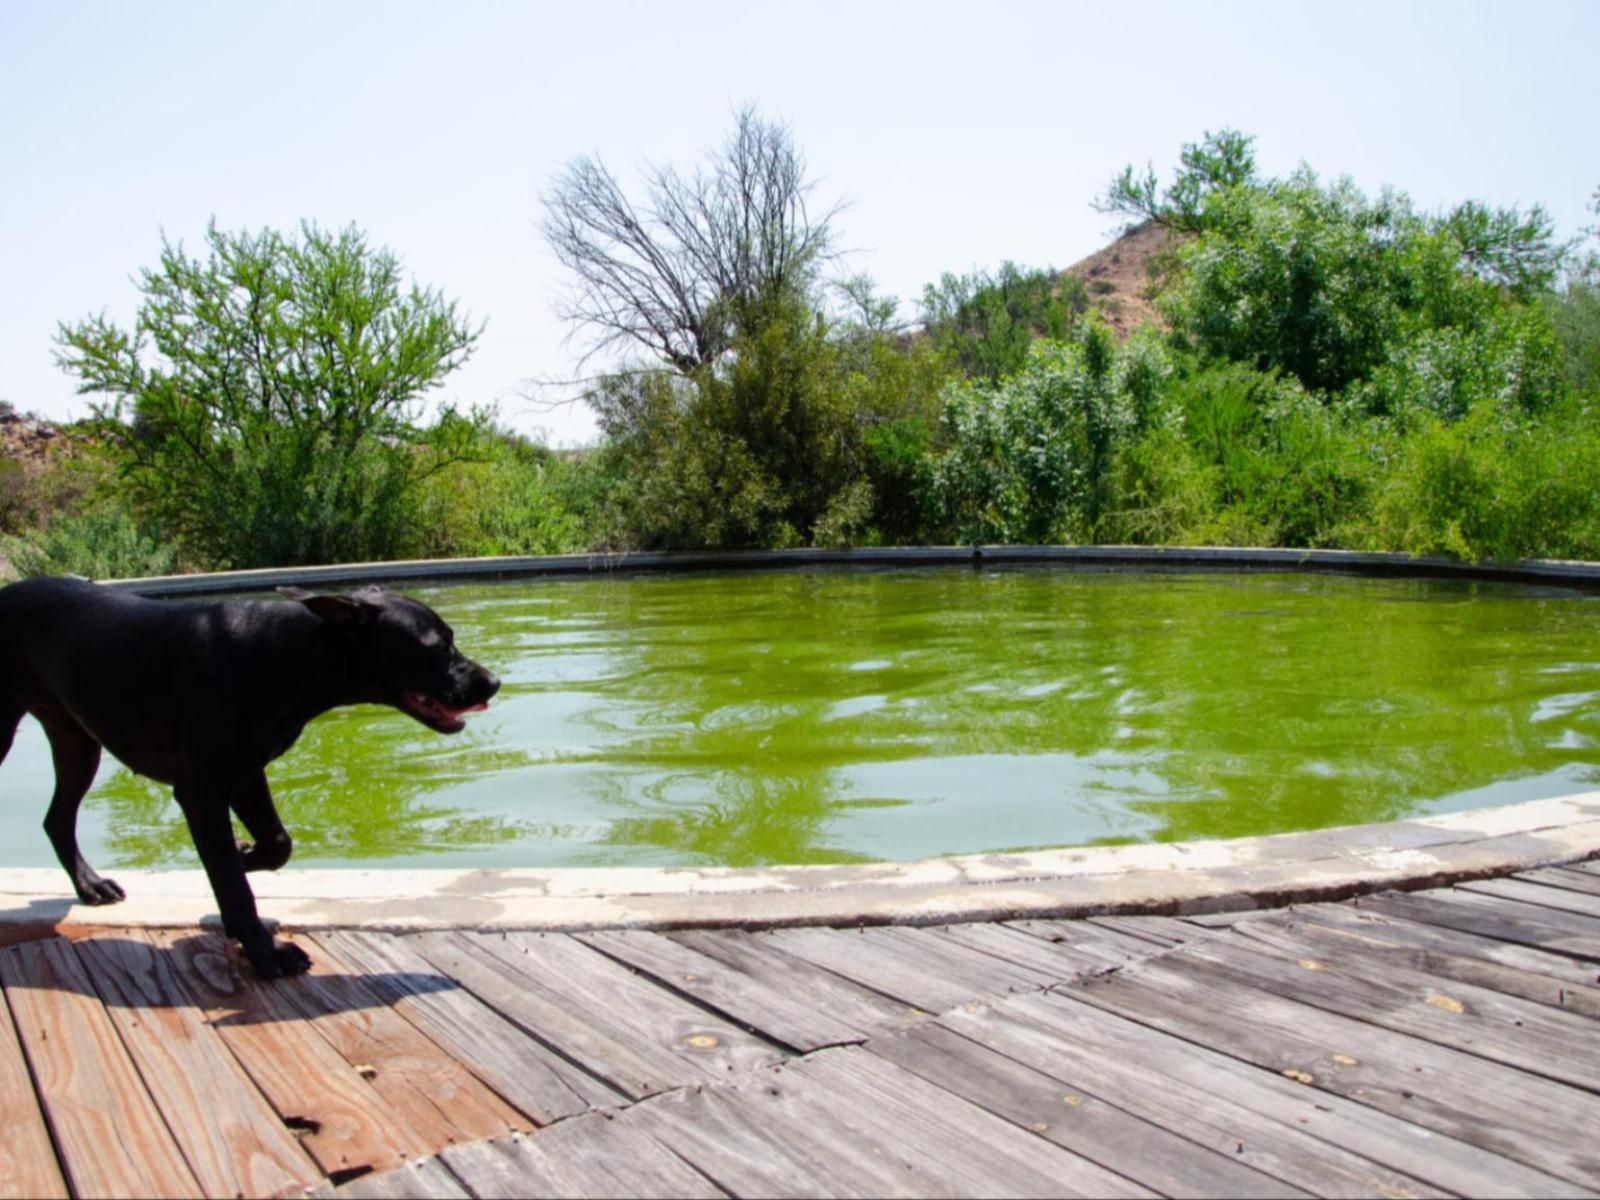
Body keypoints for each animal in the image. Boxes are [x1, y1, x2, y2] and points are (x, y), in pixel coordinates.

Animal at [0, 579, 499, 979]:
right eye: (438, 646)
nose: (492, 682)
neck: (279, 656)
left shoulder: (245, 772)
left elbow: (276, 843)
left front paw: (243, 856)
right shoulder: (202, 791)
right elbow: (234, 887)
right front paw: (267, 953)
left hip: (75, 740)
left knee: (56, 819)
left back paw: (91, 885)